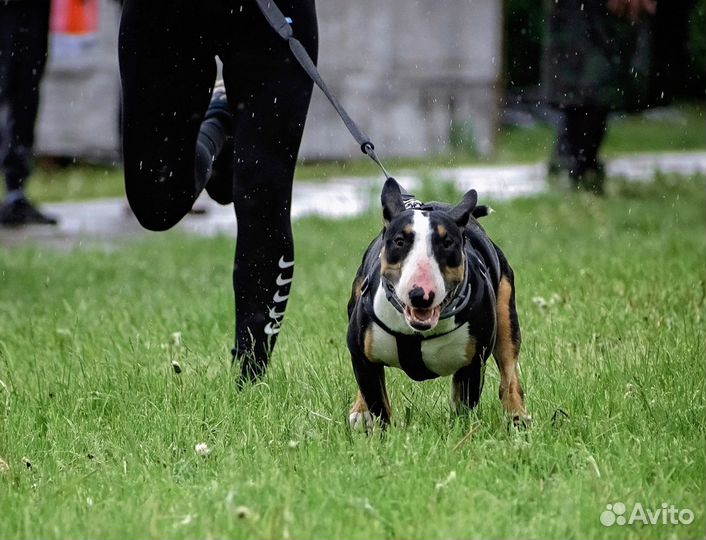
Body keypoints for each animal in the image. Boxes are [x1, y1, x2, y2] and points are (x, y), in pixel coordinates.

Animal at [344, 179, 524, 428]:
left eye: (447, 242)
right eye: (399, 241)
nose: (421, 294)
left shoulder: (472, 364)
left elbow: (464, 405)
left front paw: (460, 431)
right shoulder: (361, 355)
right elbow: (377, 402)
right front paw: (381, 431)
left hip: (506, 312)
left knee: (509, 371)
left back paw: (518, 419)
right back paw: (360, 413)